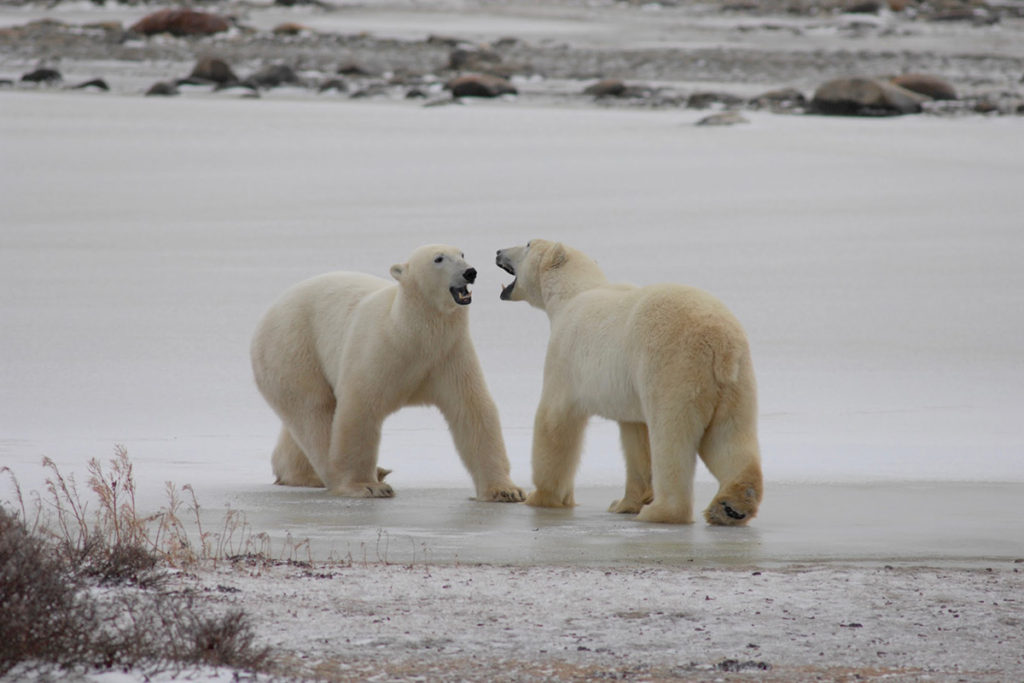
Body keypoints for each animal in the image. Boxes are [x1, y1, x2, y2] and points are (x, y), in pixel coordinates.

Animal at [250, 245, 524, 501]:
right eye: (438, 258)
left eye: (462, 254)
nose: (470, 272)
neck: (409, 331)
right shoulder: (380, 349)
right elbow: (360, 409)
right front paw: (366, 486)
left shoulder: (448, 355)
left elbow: (472, 409)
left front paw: (506, 490)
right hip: (293, 349)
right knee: (313, 413)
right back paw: (346, 473)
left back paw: (303, 474)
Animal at [495, 237, 761, 528]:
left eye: (528, 244)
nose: (498, 251)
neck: (572, 295)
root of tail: (719, 341)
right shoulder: (628, 390)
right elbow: (635, 436)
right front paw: (624, 503)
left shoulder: (565, 354)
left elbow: (554, 419)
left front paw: (542, 496)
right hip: (735, 381)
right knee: (729, 436)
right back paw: (731, 506)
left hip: (673, 368)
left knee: (671, 437)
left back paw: (661, 511)